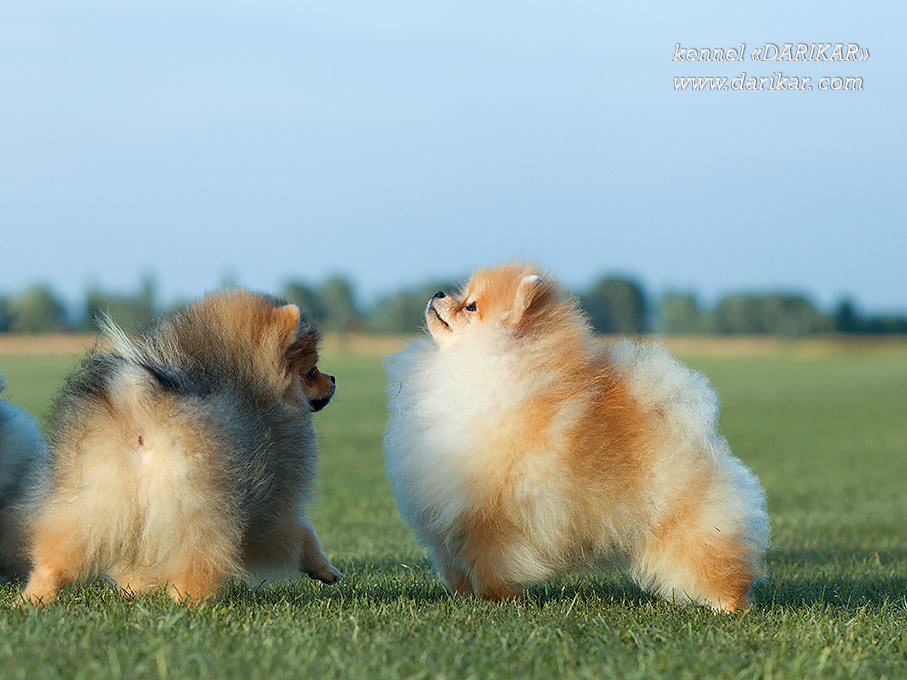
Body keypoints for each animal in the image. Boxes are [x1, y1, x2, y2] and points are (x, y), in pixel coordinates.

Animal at [21, 290, 341, 605]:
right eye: (311, 372)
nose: (334, 379)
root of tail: (141, 409)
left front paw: (136, 587)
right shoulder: (274, 502)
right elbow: (304, 536)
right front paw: (327, 570)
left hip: (90, 499)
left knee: (60, 552)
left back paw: (33, 598)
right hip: (197, 508)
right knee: (199, 559)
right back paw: (191, 603)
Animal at [384, 263, 769, 611]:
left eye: (471, 307)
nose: (438, 293)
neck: (487, 370)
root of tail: (689, 429)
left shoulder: (491, 519)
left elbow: (489, 562)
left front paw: (494, 599)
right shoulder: (447, 518)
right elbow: (454, 565)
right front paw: (464, 597)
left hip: (685, 524)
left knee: (713, 560)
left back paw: (730, 605)